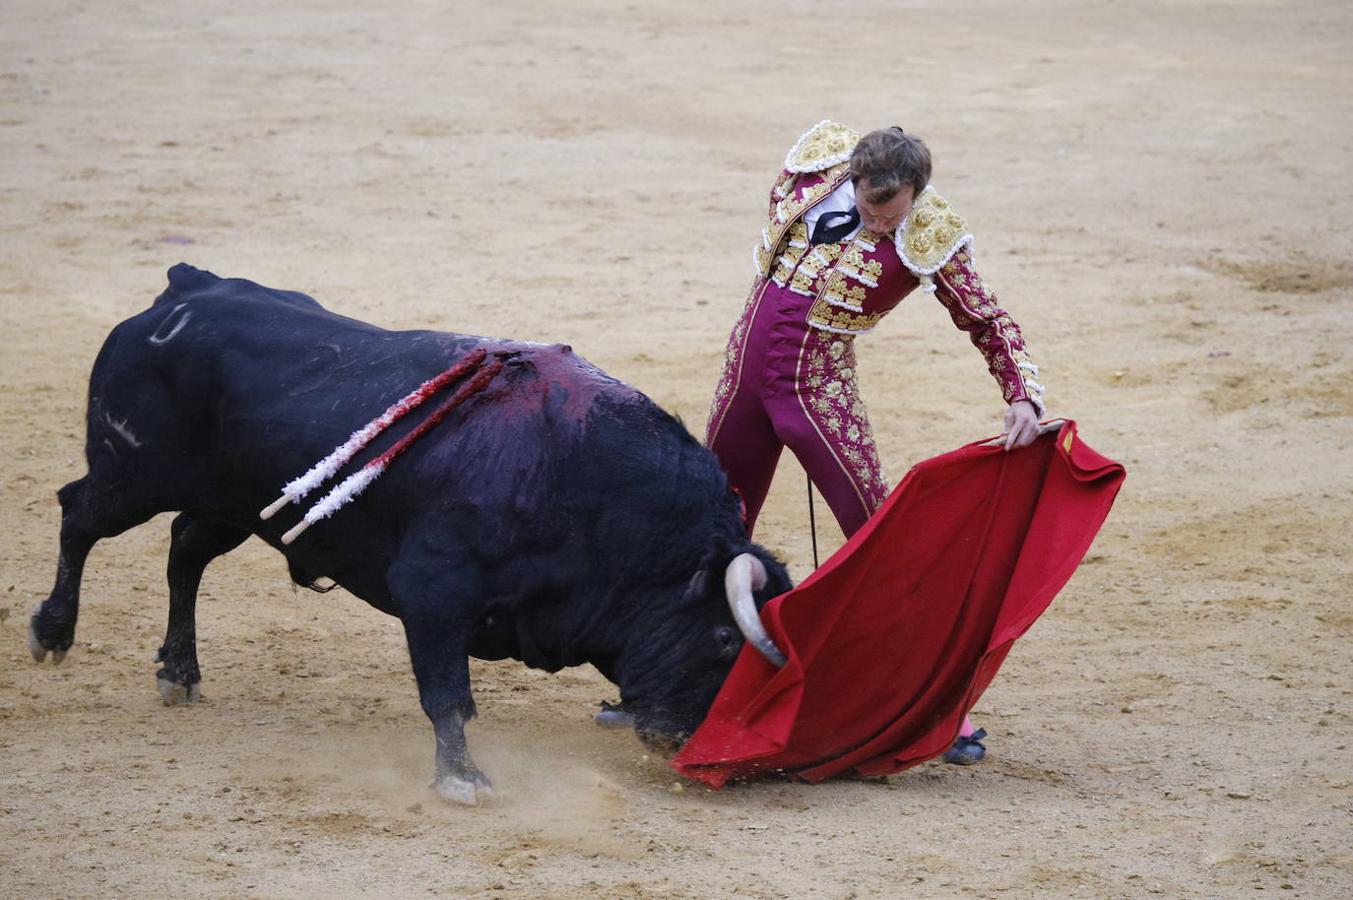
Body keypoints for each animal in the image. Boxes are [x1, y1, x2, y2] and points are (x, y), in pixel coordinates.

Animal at [26, 263, 790, 801]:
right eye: (725, 640)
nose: (692, 747)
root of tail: (186, 289)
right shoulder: (432, 592)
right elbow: (447, 694)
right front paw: (462, 780)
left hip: (239, 507)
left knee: (184, 551)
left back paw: (179, 673)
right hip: (130, 476)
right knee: (78, 516)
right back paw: (52, 632)